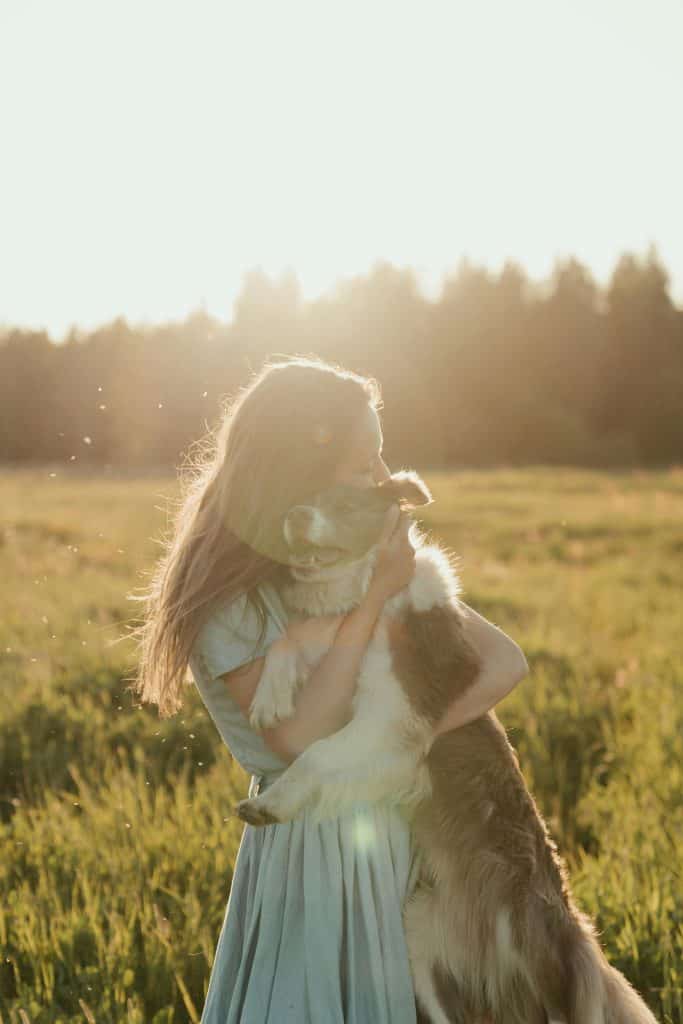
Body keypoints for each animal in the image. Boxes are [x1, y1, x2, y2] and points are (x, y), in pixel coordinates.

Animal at [233, 471, 655, 1024]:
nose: (294, 516)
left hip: (539, 975)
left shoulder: (395, 719)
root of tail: (576, 932)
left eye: (345, 502)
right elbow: (297, 639)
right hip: (419, 931)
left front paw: (272, 803)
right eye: (305, 492)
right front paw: (270, 694)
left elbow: (317, 753)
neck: (371, 594)